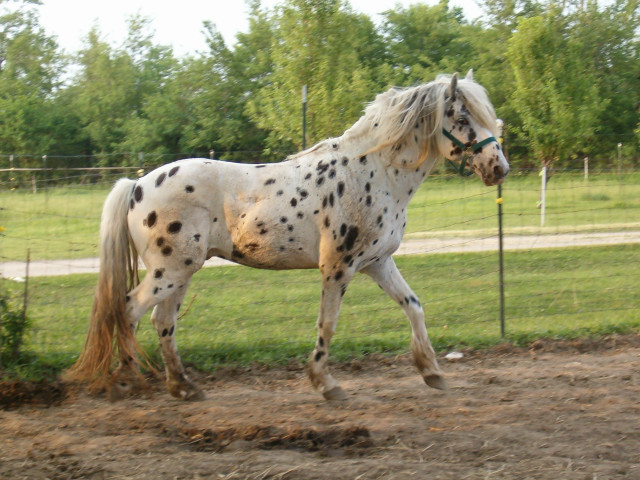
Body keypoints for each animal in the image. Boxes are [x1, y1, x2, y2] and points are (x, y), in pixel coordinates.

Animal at [65, 70, 509, 401]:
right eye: (463, 119)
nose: (498, 168)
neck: (373, 173)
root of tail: (137, 185)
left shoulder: (378, 263)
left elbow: (413, 307)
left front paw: (432, 373)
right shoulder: (338, 268)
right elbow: (327, 323)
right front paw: (326, 384)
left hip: (181, 272)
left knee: (162, 321)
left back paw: (183, 387)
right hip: (169, 272)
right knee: (128, 310)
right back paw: (126, 381)